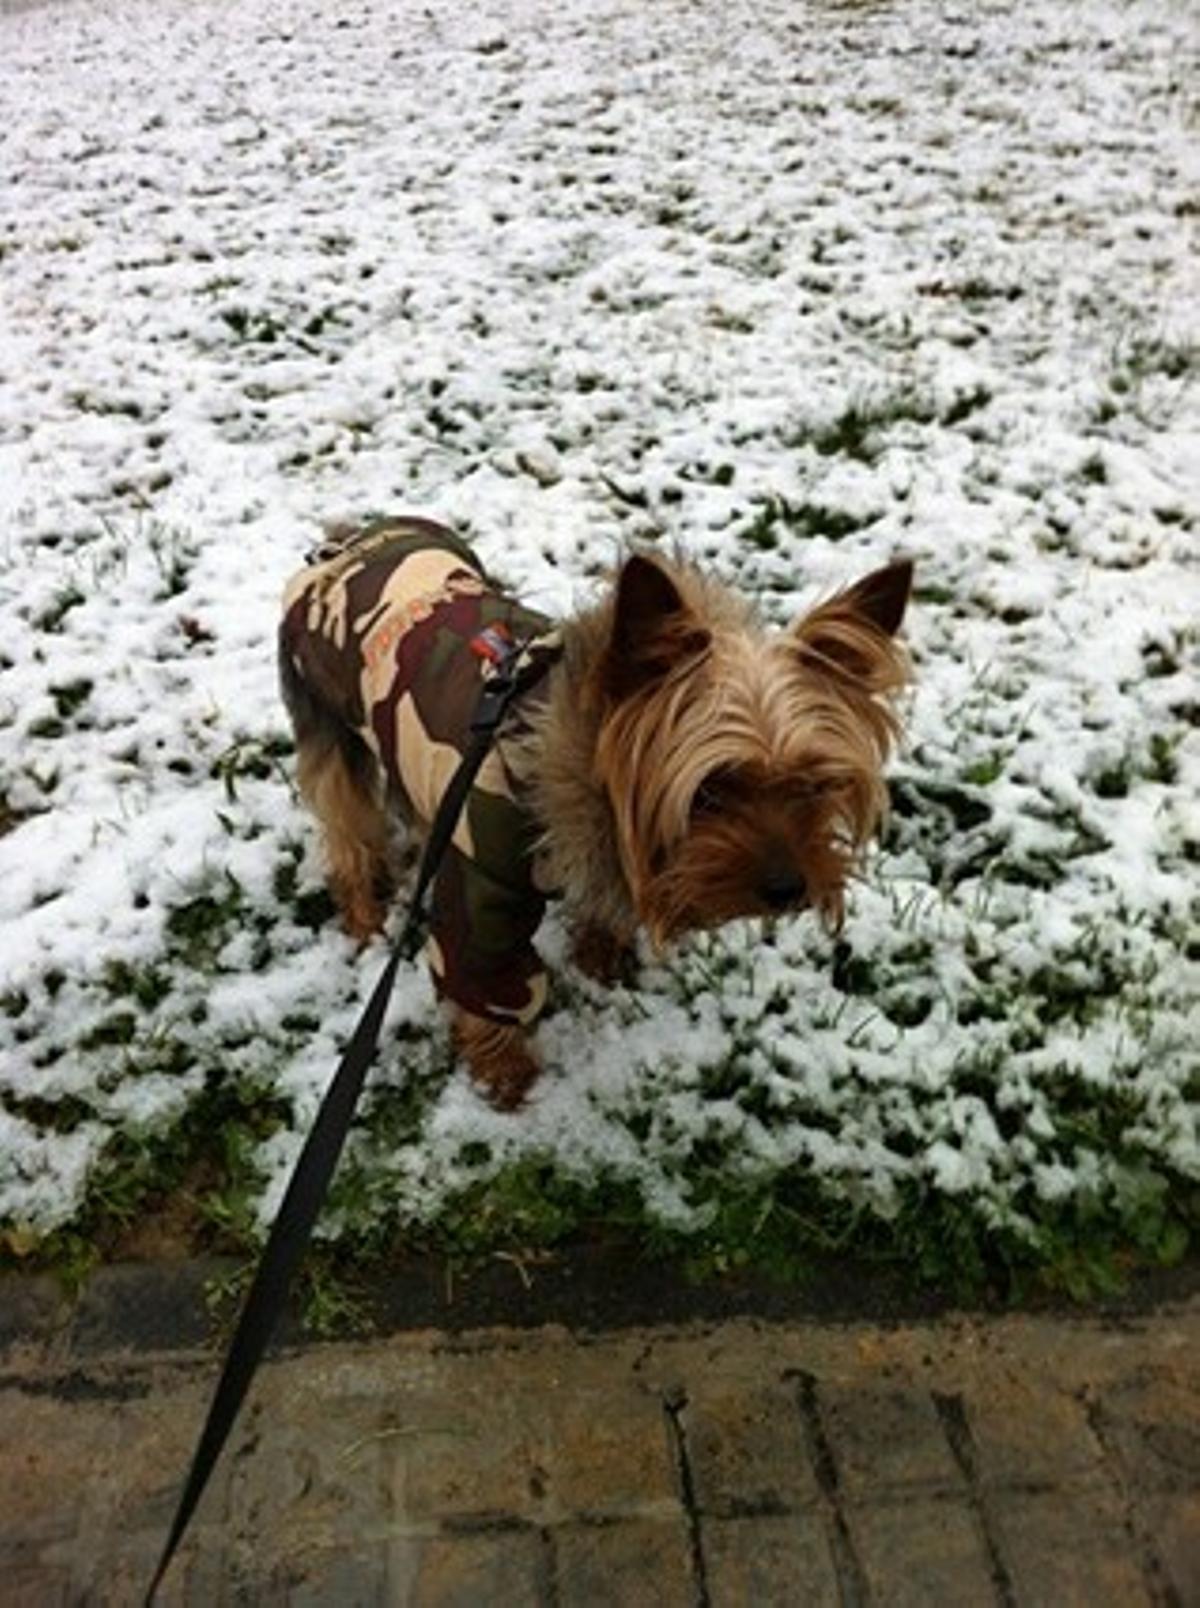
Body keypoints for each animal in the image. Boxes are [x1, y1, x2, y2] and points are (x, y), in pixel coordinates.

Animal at [278, 514, 907, 1106]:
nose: (788, 888)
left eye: (816, 785)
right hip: (327, 720)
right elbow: (483, 976)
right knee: (346, 827)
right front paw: (504, 1074)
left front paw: (603, 954)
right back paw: (364, 913)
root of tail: (344, 547)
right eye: (708, 791)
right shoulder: (483, 883)